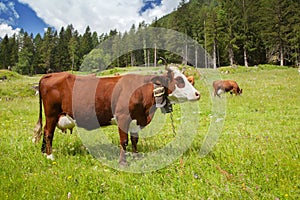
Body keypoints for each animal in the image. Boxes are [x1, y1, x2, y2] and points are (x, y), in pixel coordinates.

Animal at [32, 66, 200, 165]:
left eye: (188, 80)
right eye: (179, 80)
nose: (198, 94)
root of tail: (50, 75)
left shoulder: (136, 120)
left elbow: (134, 139)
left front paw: (136, 156)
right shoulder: (122, 117)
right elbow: (124, 141)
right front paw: (123, 162)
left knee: (46, 130)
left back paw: (43, 152)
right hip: (52, 113)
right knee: (48, 133)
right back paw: (50, 156)